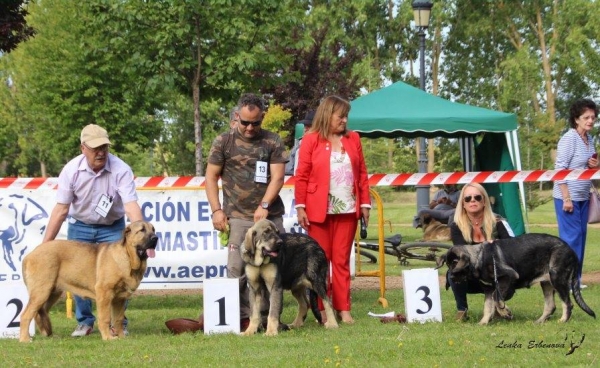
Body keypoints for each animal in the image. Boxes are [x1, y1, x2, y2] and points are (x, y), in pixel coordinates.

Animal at [19, 218, 157, 342]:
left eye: (153, 230)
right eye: (142, 230)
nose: (155, 238)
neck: (128, 257)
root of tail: (29, 255)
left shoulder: (120, 298)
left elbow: (118, 319)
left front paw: (122, 337)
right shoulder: (104, 293)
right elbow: (105, 318)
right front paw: (108, 337)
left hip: (52, 293)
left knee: (40, 312)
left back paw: (48, 335)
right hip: (41, 291)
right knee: (26, 315)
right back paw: (25, 339)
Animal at [436, 233, 596, 324]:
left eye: (455, 264)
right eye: (448, 264)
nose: (450, 278)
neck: (479, 258)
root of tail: (571, 251)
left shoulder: (507, 278)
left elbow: (497, 300)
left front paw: (505, 313)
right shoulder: (489, 289)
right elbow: (488, 306)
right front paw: (483, 322)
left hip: (557, 278)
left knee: (568, 303)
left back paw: (563, 320)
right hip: (547, 283)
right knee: (551, 305)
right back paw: (539, 321)